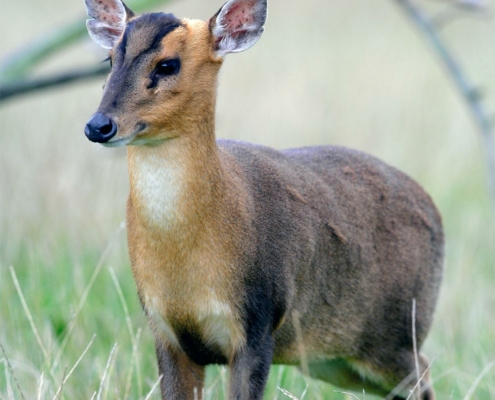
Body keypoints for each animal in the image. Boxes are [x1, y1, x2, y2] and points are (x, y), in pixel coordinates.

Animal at [83, 0, 444, 400]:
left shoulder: (258, 322)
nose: (98, 125)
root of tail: (434, 210)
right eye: (110, 59)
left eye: (167, 65)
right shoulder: (164, 331)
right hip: (337, 360)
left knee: (425, 374)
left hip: (398, 331)